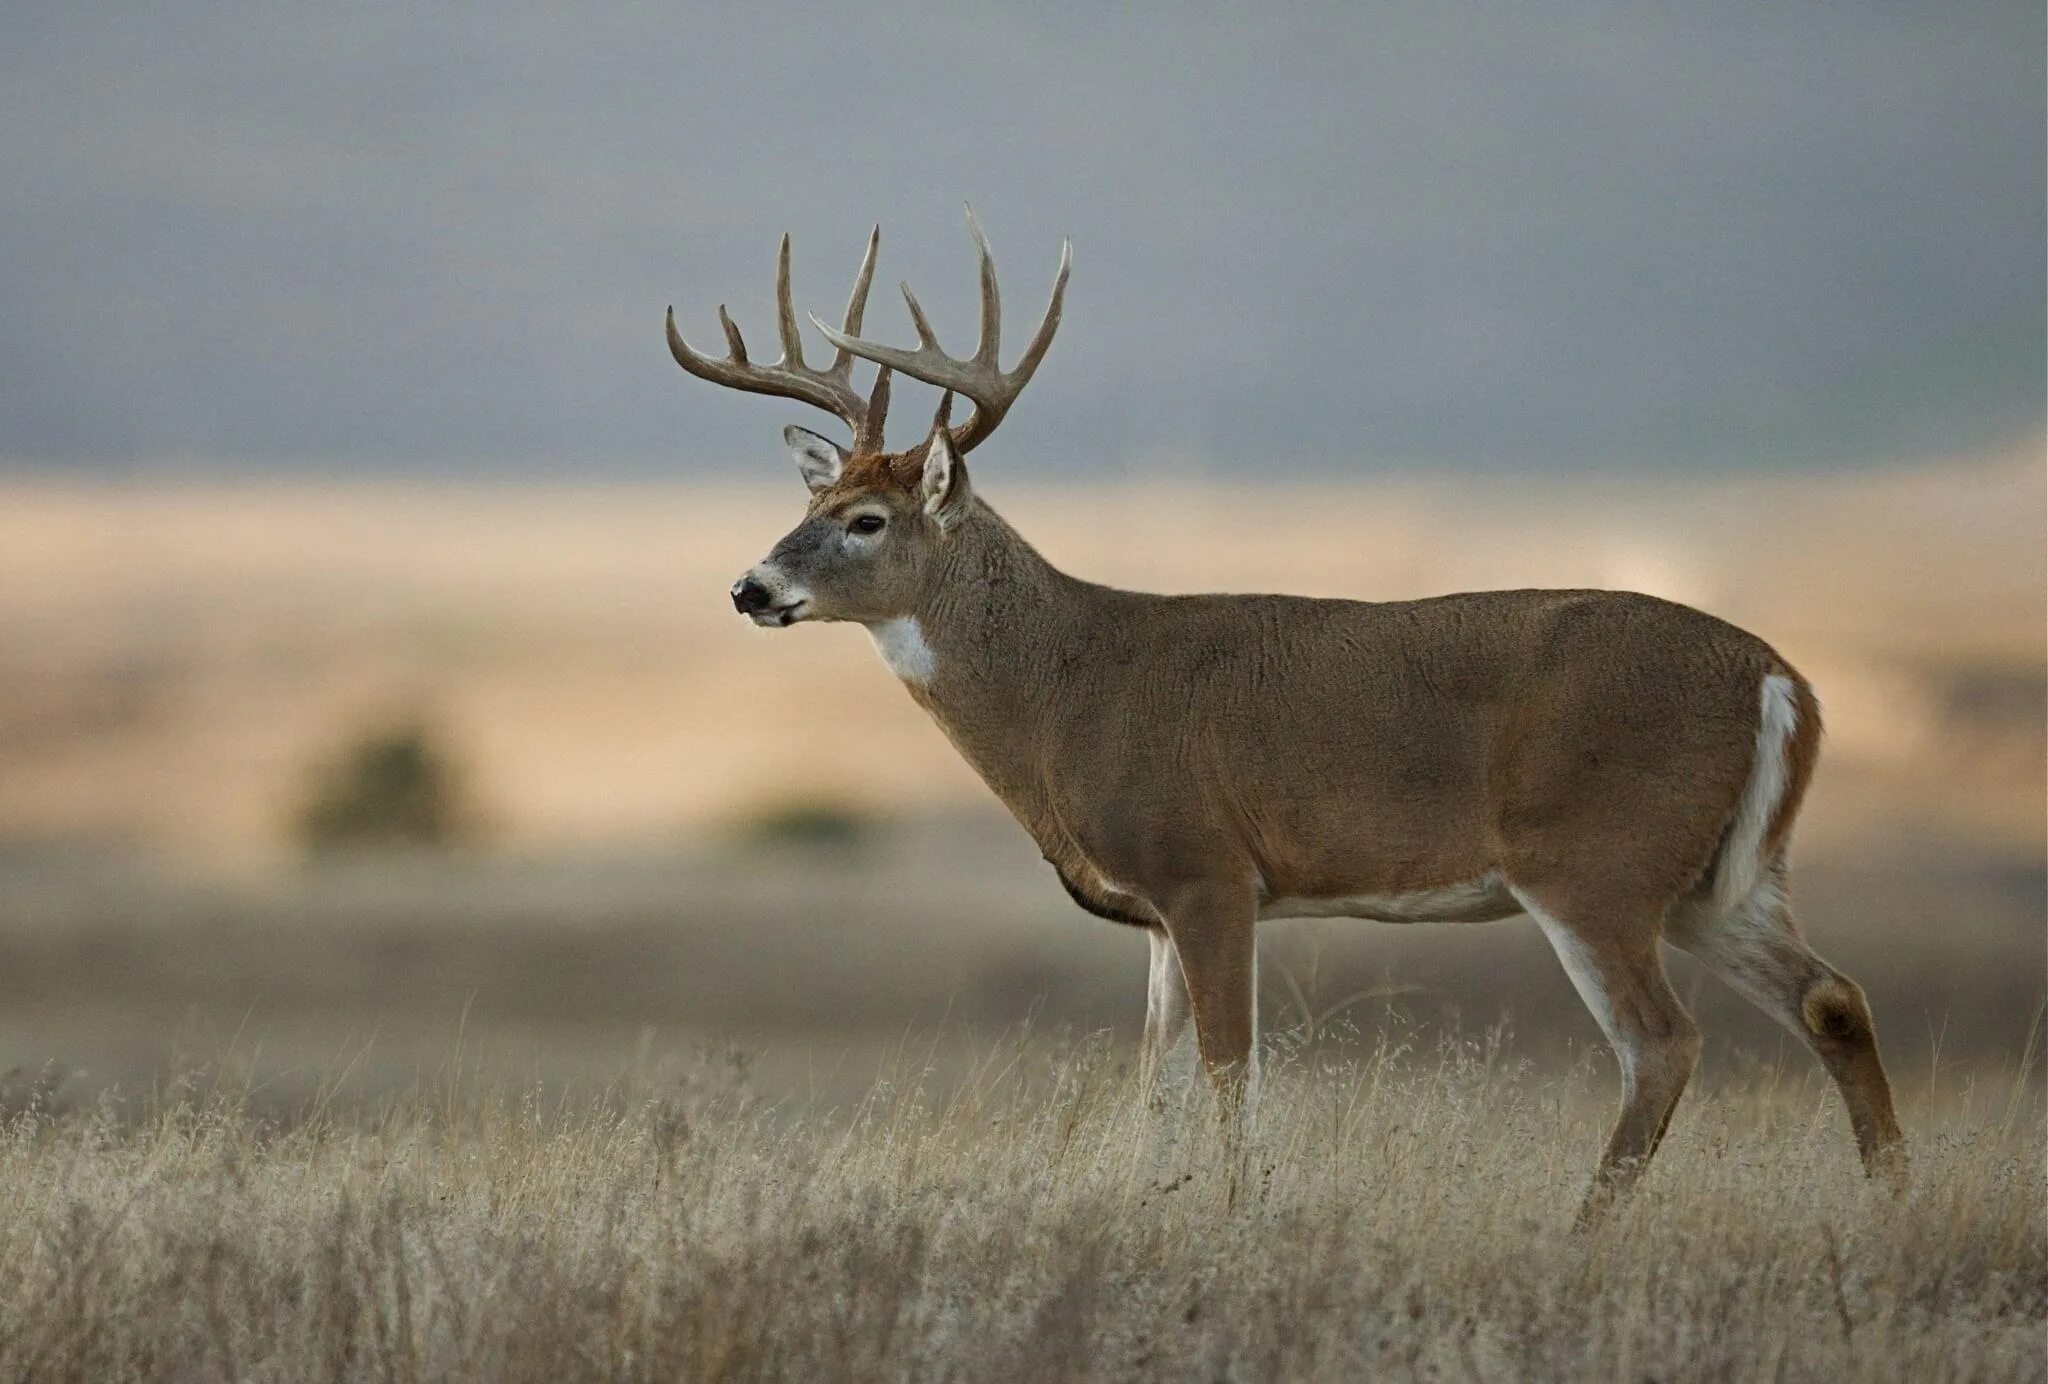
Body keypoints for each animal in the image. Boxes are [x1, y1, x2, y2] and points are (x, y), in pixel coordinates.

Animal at [663, 210, 1908, 1220]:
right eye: (810, 499)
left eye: (866, 520)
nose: (748, 588)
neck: (1070, 690)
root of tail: (1779, 677)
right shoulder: (1156, 912)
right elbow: (1156, 1082)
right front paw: (1151, 1204)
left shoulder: (1208, 867)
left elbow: (1228, 1068)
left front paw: (1232, 1213)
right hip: (1713, 878)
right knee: (1831, 996)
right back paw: (1887, 1203)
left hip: (1592, 859)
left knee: (1661, 1042)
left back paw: (1582, 1232)